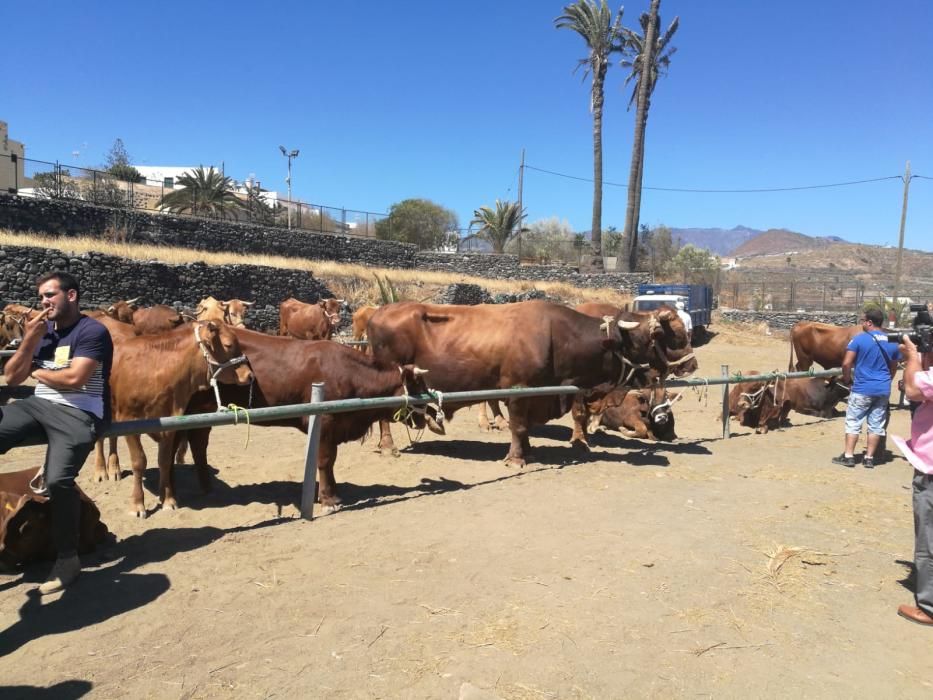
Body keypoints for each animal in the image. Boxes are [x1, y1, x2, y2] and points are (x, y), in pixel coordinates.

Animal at [108, 322, 255, 516]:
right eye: (229, 345)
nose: (249, 375)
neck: (156, 372)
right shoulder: (129, 420)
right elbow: (139, 462)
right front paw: (138, 504)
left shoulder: (171, 422)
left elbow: (164, 460)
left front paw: (167, 499)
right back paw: (106, 471)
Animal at [364, 300, 676, 464]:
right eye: (646, 339)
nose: (659, 371)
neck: (556, 335)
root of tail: (379, 311)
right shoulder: (517, 390)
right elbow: (518, 425)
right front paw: (516, 458)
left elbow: (524, 427)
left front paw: (527, 451)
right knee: (383, 417)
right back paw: (388, 445)